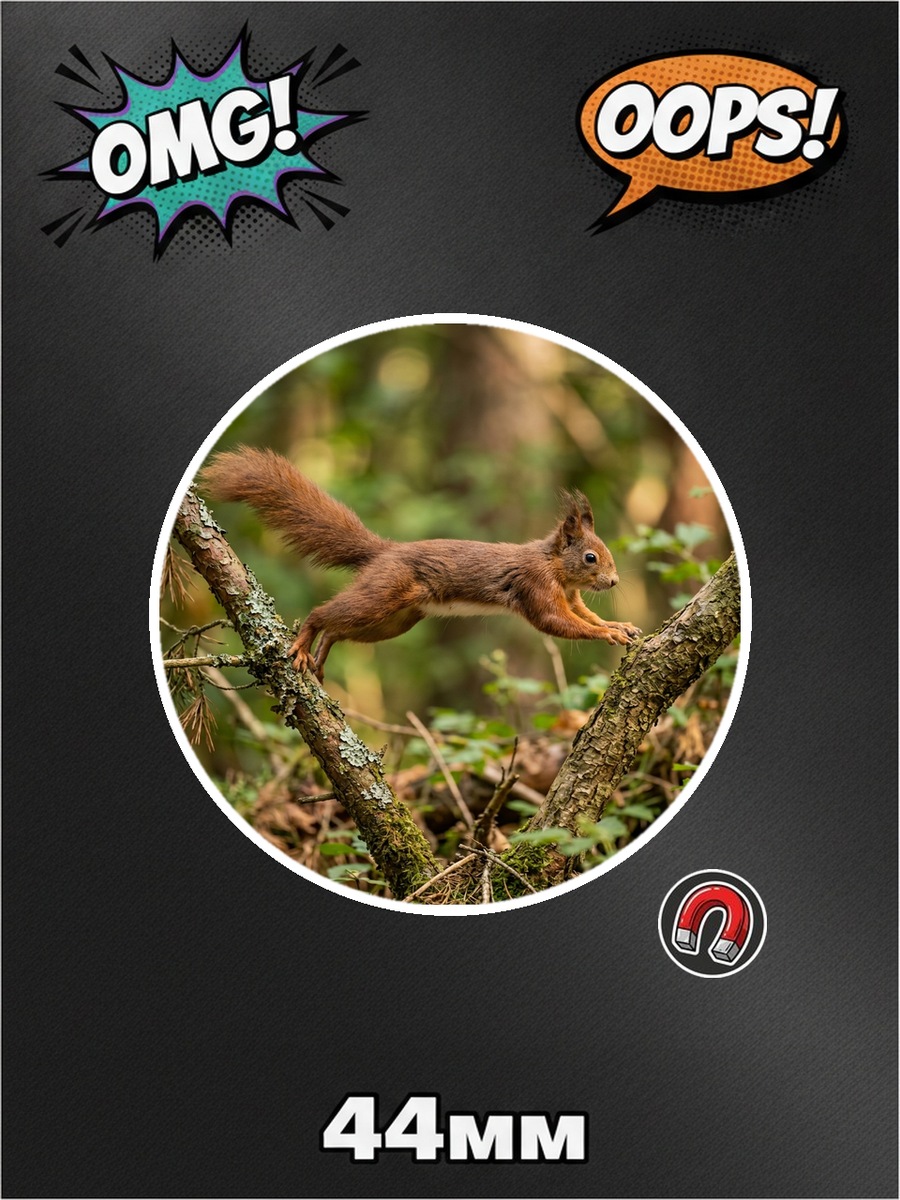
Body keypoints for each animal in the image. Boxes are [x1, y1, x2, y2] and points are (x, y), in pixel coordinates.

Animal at [200, 446, 641, 680]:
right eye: (590, 557)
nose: (614, 582)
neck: (555, 567)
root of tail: (384, 552)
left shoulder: (572, 596)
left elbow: (584, 615)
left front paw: (618, 625)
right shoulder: (535, 585)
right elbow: (558, 622)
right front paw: (608, 635)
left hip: (395, 621)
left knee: (340, 629)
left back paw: (323, 652)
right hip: (383, 595)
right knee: (324, 613)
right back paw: (306, 640)